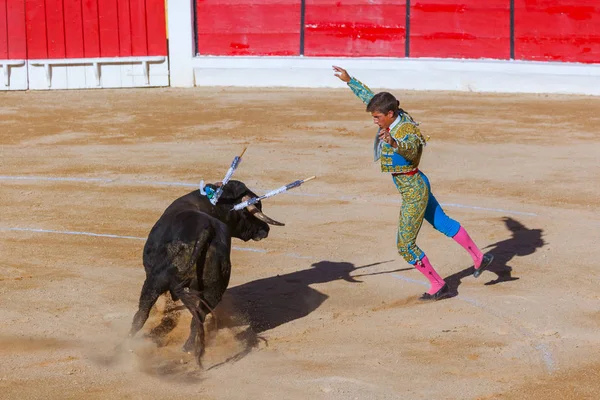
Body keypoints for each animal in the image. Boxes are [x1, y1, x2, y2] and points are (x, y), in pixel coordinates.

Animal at [127, 180, 282, 364]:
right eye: (248, 213)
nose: (265, 229)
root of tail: (206, 229)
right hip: (209, 290)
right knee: (196, 317)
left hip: (156, 280)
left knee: (143, 314)